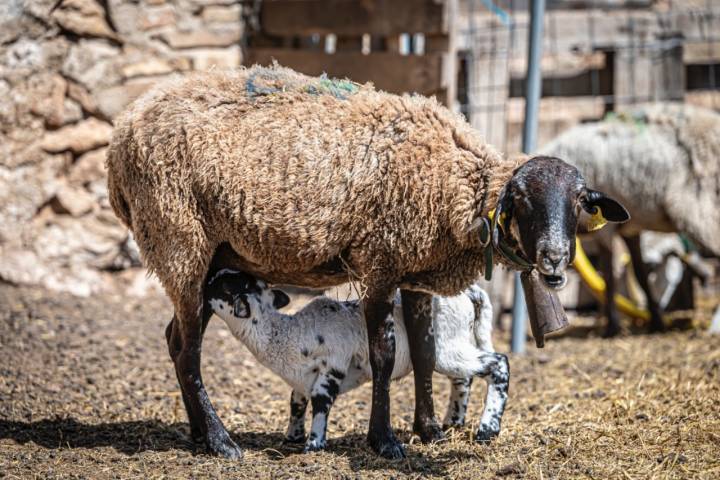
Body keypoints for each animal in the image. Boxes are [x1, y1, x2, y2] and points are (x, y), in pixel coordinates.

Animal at [202, 270, 510, 454]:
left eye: (225, 286)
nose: (208, 278)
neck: (288, 334)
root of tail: (471, 292)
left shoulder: (333, 366)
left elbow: (321, 401)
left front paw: (313, 444)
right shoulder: (302, 376)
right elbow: (296, 401)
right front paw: (292, 436)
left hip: (447, 346)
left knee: (499, 363)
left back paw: (487, 431)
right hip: (455, 343)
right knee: (463, 378)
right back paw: (453, 422)